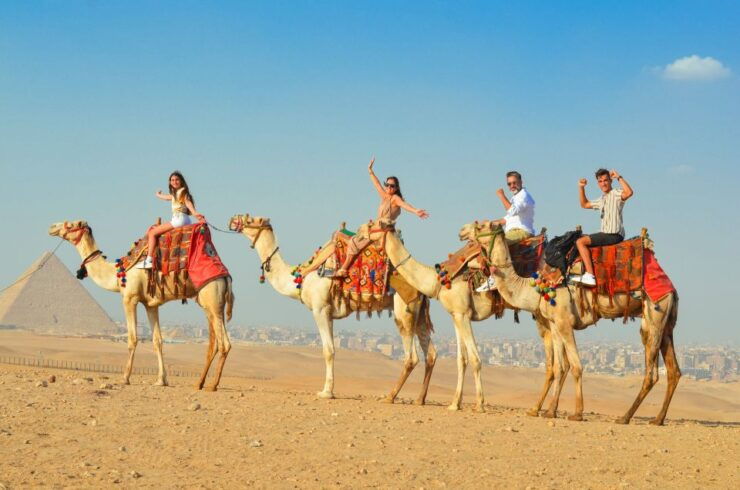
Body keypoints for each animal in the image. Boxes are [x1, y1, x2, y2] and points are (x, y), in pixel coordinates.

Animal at [48, 221, 234, 391]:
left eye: (70, 225)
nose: (52, 227)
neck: (118, 273)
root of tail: (226, 278)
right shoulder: (151, 304)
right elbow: (157, 340)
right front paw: (161, 380)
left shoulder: (129, 298)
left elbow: (132, 338)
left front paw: (125, 378)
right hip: (209, 305)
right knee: (213, 344)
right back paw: (199, 383)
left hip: (212, 298)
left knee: (224, 343)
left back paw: (212, 385)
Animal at [228, 214, 435, 403]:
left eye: (250, 219)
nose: (232, 220)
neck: (302, 277)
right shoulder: (329, 312)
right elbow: (333, 348)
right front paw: (328, 390)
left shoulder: (320, 309)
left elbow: (328, 350)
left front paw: (326, 392)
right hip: (419, 313)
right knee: (431, 354)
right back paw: (420, 399)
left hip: (404, 308)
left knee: (411, 357)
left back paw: (390, 396)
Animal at [462, 221, 680, 425]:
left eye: (480, 225)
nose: (462, 231)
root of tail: (670, 285)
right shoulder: (555, 324)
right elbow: (560, 367)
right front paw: (550, 411)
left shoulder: (564, 321)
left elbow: (575, 366)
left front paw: (577, 413)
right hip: (666, 321)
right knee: (673, 371)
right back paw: (658, 419)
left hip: (655, 312)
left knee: (652, 372)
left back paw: (625, 417)